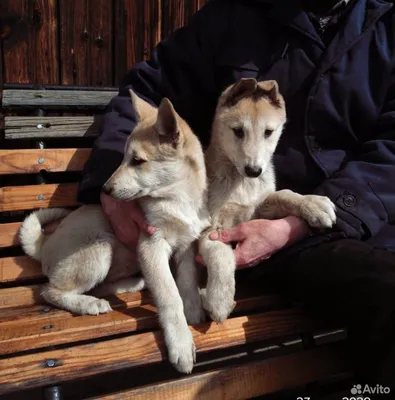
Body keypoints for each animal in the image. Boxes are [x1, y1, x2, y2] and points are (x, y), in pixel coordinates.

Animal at [19, 91, 210, 376]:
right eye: (123, 158)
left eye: (137, 161)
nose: (105, 190)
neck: (177, 199)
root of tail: (44, 243)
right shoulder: (151, 245)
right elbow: (169, 296)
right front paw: (181, 344)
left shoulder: (186, 244)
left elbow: (186, 282)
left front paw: (193, 310)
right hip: (100, 248)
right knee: (49, 291)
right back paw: (88, 304)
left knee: (99, 285)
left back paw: (131, 285)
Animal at [201, 77, 338, 322]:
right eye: (238, 131)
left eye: (268, 132)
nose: (254, 170)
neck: (241, 182)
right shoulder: (209, 226)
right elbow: (220, 255)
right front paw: (219, 300)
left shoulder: (257, 207)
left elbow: (284, 194)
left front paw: (313, 204)